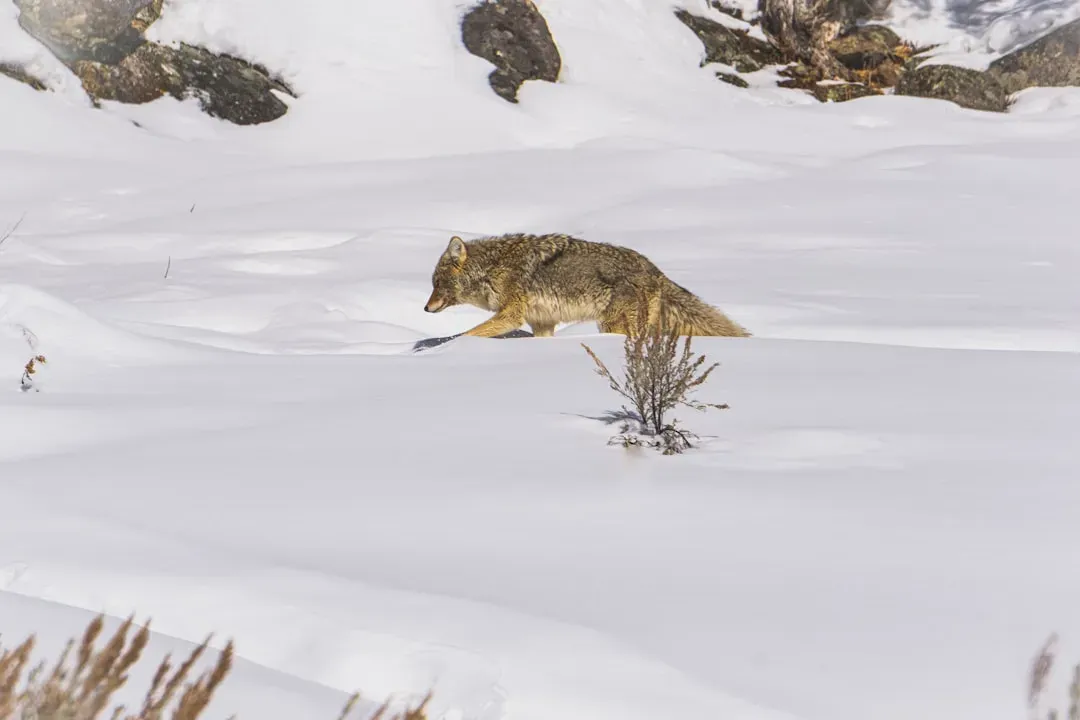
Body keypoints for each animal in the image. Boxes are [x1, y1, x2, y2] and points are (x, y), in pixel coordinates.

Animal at [423, 233, 750, 339]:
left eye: (437, 283)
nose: (425, 308)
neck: (492, 268)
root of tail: (656, 271)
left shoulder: (511, 315)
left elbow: (468, 334)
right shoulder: (542, 322)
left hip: (611, 325)